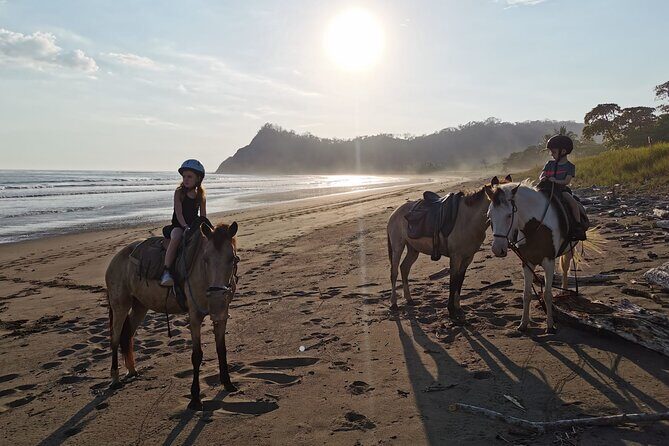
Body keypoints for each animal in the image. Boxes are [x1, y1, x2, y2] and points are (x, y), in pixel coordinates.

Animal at [105, 220, 239, 410]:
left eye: (232, 258)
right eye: (205, 259)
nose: (216, 299)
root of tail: (115, 259)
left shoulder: (222, 316)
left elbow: (221, 349)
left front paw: (227, 383)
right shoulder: (195, 317)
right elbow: (197, 355)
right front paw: (195, 398)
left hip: (140, 306)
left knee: (127, 335)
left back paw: (131, 370)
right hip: (120, 306)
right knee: (115, 339)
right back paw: (115, 378)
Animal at [386, 176, 510, 322]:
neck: (468, 219)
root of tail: (395, 213)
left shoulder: (468, 257)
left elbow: (459, 281)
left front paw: (458, 308)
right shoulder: (455, 257)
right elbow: (453, 281)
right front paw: (451, 311)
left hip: (413, 250)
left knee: (404, 268)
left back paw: (409, 299)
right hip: (397, 247)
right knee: (394, 273)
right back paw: (393, 303)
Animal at [485, 179, 580, 333]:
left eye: (509, 215)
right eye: (489, 216)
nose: (497, 249)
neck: (536, 227)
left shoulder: (549, 262)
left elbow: (547, 295)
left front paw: (550, 325)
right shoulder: (527, 263)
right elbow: (527, 294)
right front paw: (523, 324)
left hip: (570, 249)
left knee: (565, 269)